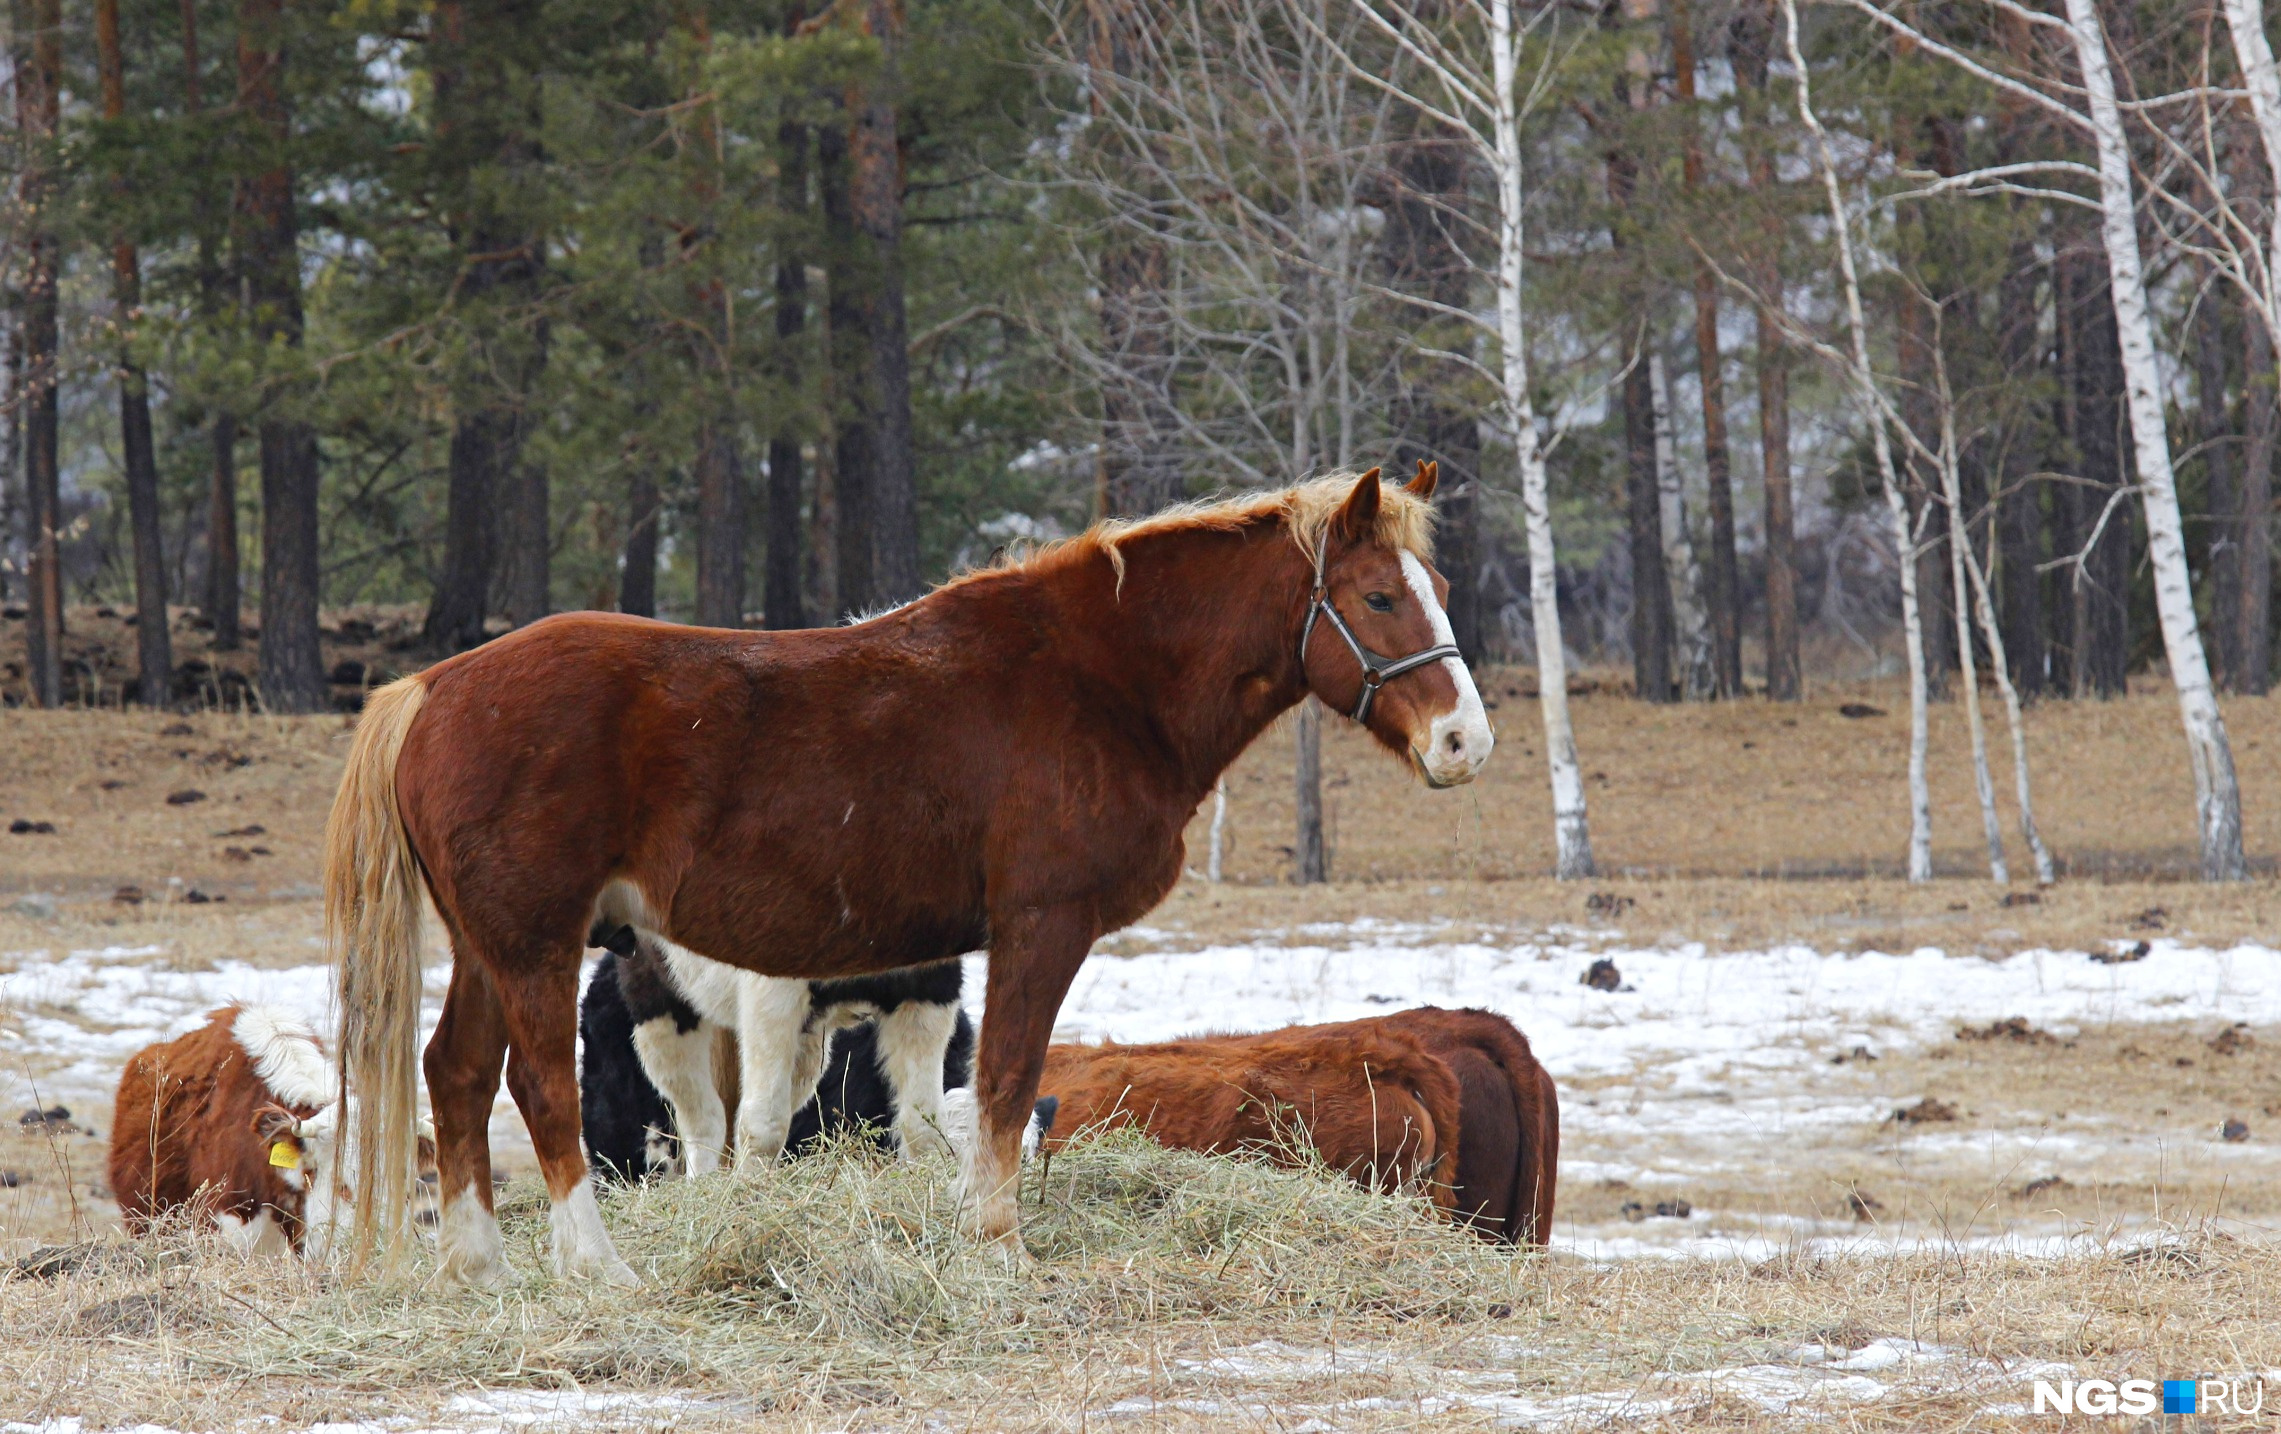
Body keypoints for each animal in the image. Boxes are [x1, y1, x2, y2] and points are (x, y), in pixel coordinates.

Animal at [330, 465, 1487, 1276]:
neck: (1096, 680)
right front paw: (997, 1244)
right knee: (536, 1087)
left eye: (1434, 587)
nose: (1464, 743)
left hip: (490, 947)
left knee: (456, 1074)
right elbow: (1008, 1081)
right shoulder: (1038, 927)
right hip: (535, 944)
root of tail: (434, 687)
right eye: (1379, 598)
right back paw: (596, 1268)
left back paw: (480, 1269)